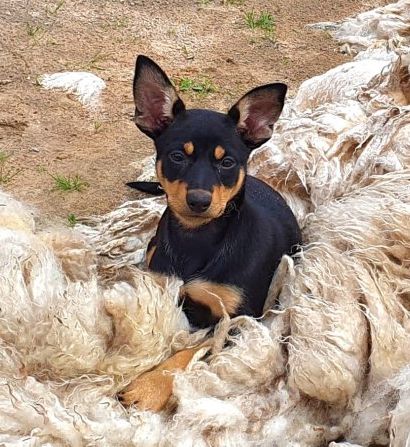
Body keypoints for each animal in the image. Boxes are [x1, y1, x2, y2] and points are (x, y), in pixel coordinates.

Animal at [119, 55, 301, 409]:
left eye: (227, 162)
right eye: (177, 156)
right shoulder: (166, 292)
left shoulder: (237, 321)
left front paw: (148, 387)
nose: (199, 201)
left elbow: (187, 349)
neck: (197, 239)